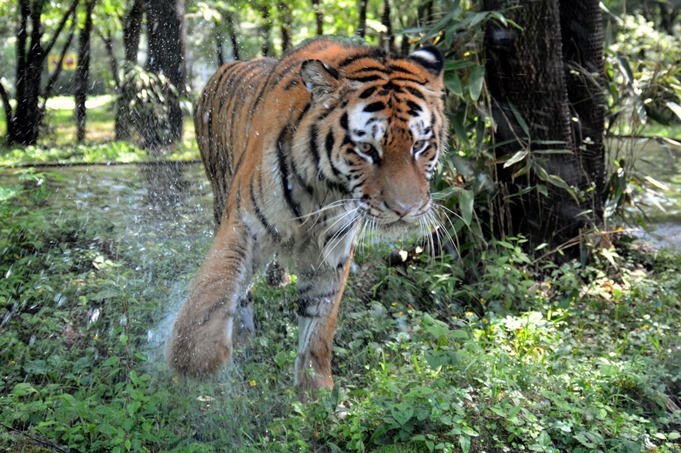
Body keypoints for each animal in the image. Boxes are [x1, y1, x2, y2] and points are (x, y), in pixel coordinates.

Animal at [166, 38, 446, 392]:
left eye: (420, 145)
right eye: (367, 149)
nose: (405, 210)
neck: (325, 188)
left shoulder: (331, 248)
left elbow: (320, 323)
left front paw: (315, 392)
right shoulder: (243, 223)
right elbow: (218, 281)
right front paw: (194, 359)